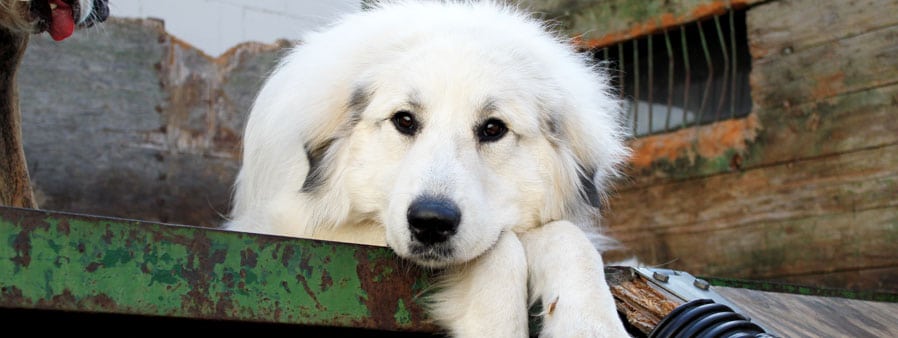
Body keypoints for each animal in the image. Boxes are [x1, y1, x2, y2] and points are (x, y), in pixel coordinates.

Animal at [224, 1, 632, 336]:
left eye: (493, 129)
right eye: (404, 120)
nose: (432, 222)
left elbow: (569, 238)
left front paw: (590, 325)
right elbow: (503, 251)